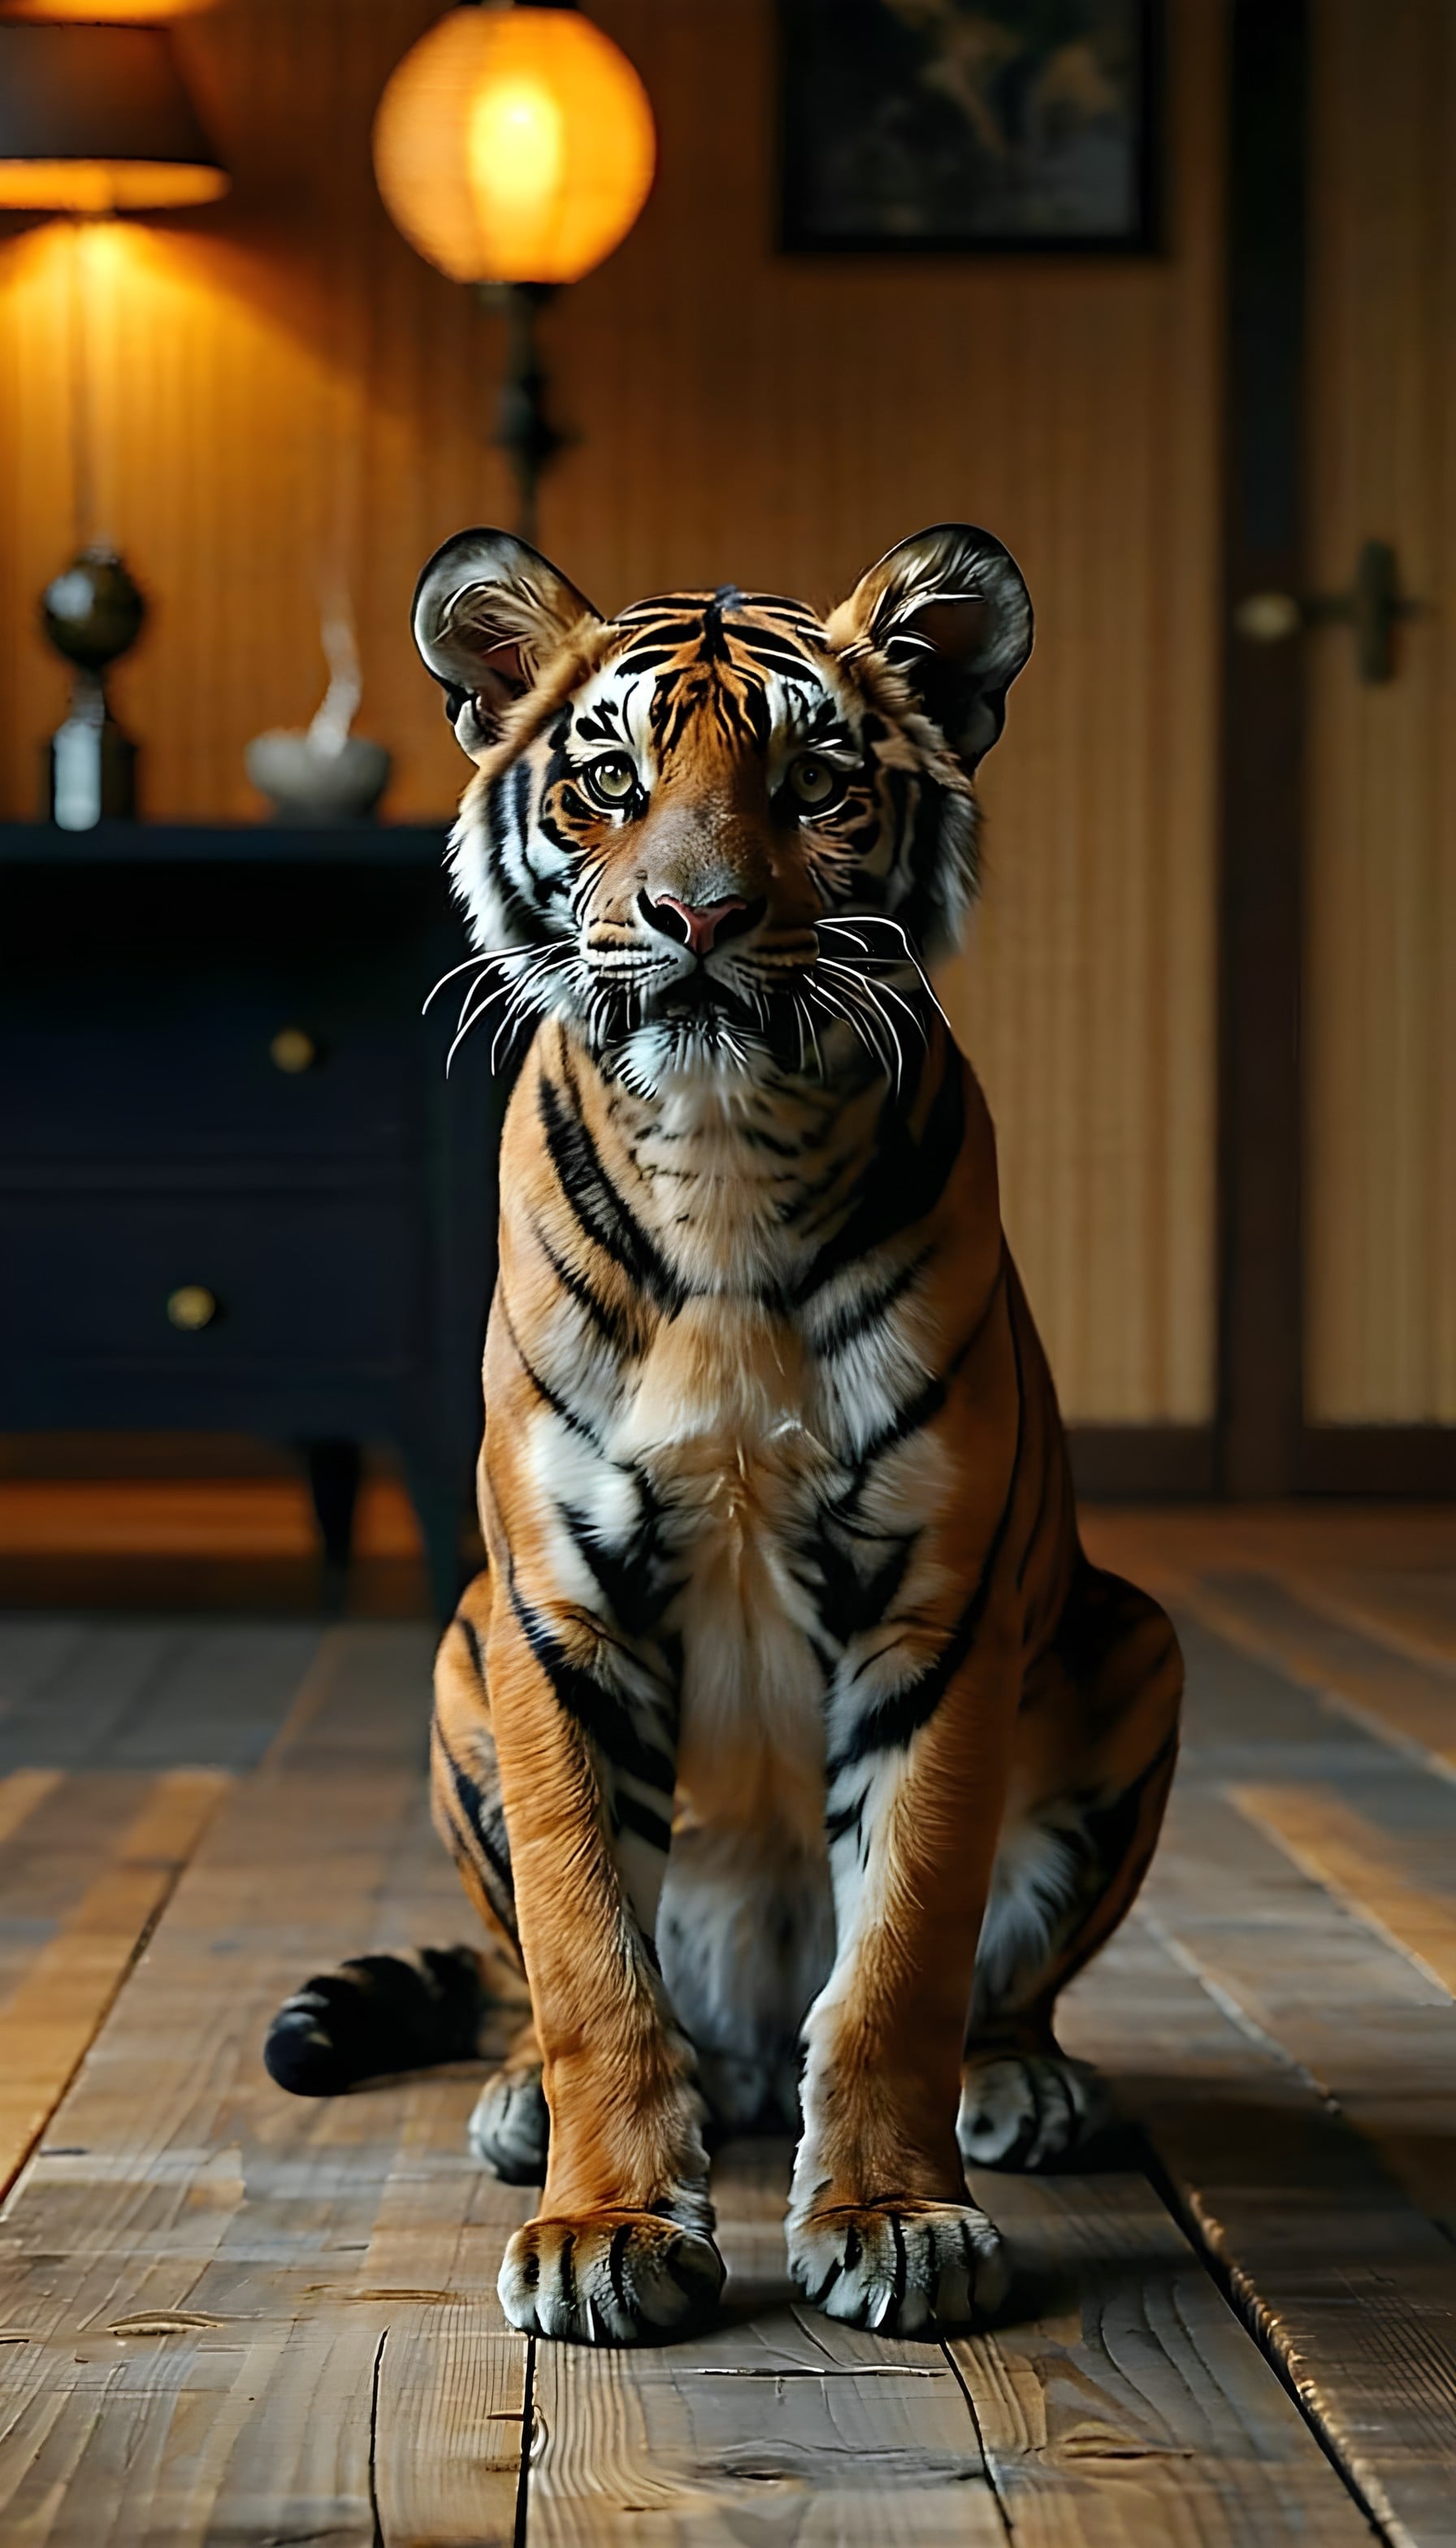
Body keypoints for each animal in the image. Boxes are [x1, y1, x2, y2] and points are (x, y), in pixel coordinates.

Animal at [264, 521, 1183, 2347]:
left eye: (812, 777)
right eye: (609, 777)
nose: (695, 913)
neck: (722, 1146)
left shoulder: (935, 1611)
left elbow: (901, 1952)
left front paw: (897, 2219)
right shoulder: (559, 1612)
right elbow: (585, 1958)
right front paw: (603, 2226)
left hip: (1133, 1635)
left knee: (998, 1989)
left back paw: (1026, 2088)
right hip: (459, 1649)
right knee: (546, 1993)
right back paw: (522, 2108)